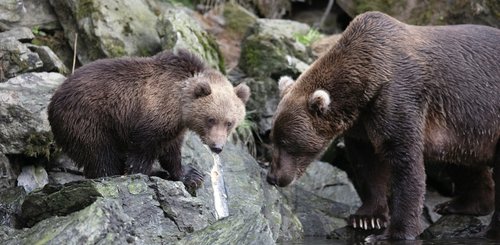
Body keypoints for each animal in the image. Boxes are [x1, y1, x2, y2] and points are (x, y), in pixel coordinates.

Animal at [47, 48, 250, 189]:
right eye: (211, 119)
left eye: (230, 123)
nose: (217, 147)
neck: (180, 103)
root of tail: (53, 101)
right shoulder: (153, 115)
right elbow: (142, 151)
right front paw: (141, 175)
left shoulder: (174, 126)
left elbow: (171, 150)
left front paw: (191, 174)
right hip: (89, 120)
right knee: (100, 154)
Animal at [268, 10, 500, 240]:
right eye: (273, 139)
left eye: (287, 142)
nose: (273, 177)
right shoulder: (362, 123)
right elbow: (367, 163)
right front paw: (366, 218)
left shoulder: (398, 98)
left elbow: (404, 160)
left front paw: (393, 234)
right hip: (464, 129)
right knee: (461, 162)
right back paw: (460, 204)